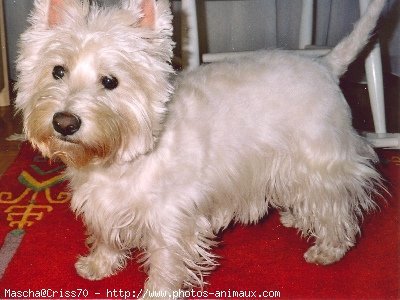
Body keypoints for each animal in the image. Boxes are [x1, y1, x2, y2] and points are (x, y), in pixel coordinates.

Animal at [14, 0, 384, 296]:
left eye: (110, 81)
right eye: (57, 71)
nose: (64, 123)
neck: (120, 159)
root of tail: (325, 64)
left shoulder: (171, 220)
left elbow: (165, 263)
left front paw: (156, 294)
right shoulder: (103, 205)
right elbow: (105, 234)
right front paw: (98, 265)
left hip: (320, 158)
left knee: (335, 202)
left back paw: (329, 249)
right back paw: (296, 217)